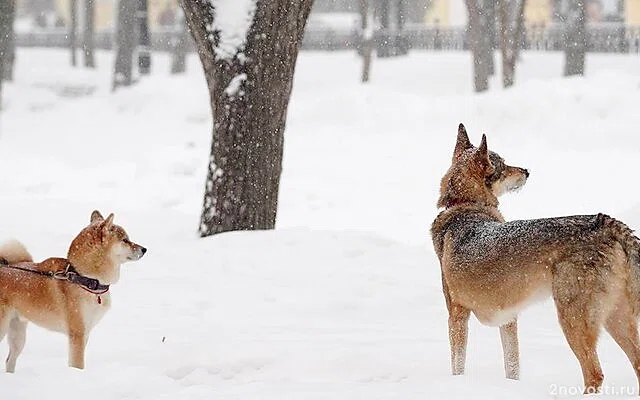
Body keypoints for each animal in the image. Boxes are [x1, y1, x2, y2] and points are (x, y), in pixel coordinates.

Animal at [0, 211, 145, 370]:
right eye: (125, 240)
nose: (144, 249)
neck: (85, 279)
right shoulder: (78, 334)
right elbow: (78, 364)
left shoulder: (85, 333)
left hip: (17, 332)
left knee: (9, 360)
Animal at [430, 124, 640, 394]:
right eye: (504, 165)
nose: (527, 171)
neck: (465, 206)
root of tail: (607, 222)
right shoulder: (508, 320)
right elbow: (512, 367)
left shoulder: (457, 315)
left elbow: (458, 365)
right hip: (615, 320)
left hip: (573, 320)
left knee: (595, 374)